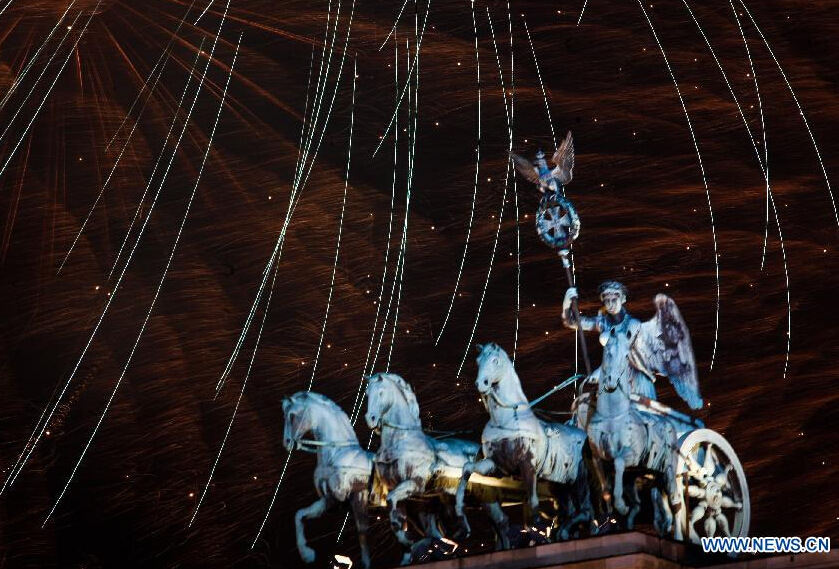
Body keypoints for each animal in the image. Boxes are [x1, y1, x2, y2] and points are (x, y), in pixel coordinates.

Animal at [282, 390, 378, 568]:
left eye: (291, 416)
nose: (287, 442)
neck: (337, 454)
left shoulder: (350, 498)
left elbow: (363, 538)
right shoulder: (328, 501)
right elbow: (299, 515)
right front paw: (307, 554)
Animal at [364, 370, 508, 560]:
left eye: (380, 392)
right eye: (366, 394)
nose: (370, 419)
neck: (400, 441)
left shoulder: (414, 484)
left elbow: (393, 506)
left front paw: (408, 543)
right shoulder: (406, 498)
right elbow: (396, 518)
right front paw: (407, 549)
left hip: (487, 499)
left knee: (501, 524)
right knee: (493, 528)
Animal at [460, 342, 592, 540]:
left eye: (495, 360)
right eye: (477, 360)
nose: (481, 383)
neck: (505, 420)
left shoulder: (527, 466)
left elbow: (533, 502)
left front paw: (536, 528)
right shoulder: (496, 466)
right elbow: (468, 468)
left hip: (580, 481)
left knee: (586, 511)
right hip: (559, 486)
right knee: (574, 511)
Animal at [588, 326, 684, 540]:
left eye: (626, 355)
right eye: (608, 352)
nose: (611, 382)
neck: (612, 416)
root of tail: (669, 423)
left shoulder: (630, 456)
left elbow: (618, 461)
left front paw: (621, 506)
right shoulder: (598, 460)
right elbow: (606, 489)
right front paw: (612, 513)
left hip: (668, 471)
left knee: (675, 504)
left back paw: (678, 537)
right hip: (646, 476)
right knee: (643, 505)